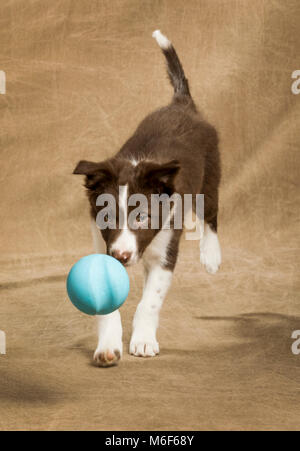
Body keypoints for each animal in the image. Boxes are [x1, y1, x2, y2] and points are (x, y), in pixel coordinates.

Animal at [74, 30, 221, 368]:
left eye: (142, 218)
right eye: (106, 218)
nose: (121, 256)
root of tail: (182, 104)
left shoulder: (165, 252)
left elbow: (149, 302)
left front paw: (142, 341)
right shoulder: (101, 246)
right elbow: (108, 307)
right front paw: (107, 345)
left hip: (211, 175)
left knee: (211, 214)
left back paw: (211, 254)